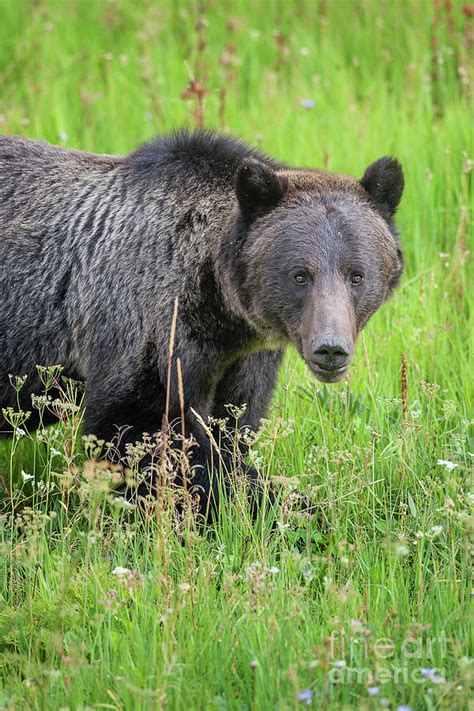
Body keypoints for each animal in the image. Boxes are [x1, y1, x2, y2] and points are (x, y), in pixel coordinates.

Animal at [0, 131, 404, 508]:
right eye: (300, 275)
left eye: (356, 274)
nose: (330, 349)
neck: (220, 310)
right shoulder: (147, 325)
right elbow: (146, 433)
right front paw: (274, 500)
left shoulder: (245, 357)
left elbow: (235, 423)